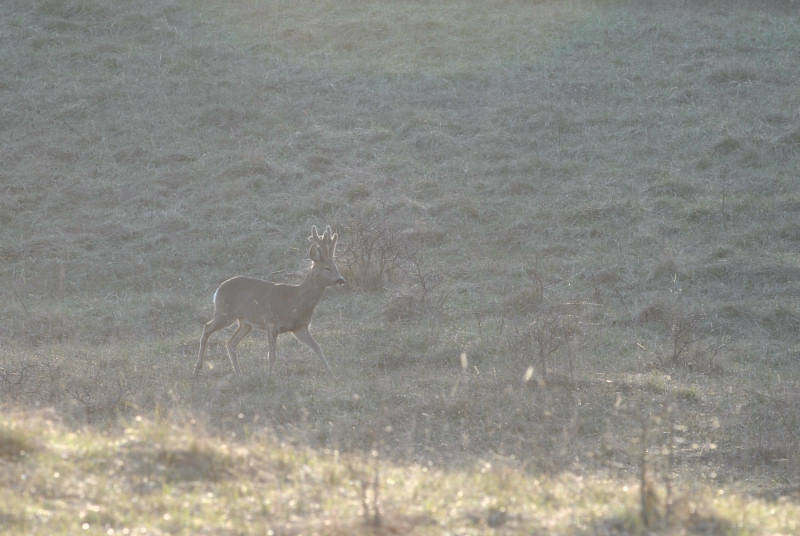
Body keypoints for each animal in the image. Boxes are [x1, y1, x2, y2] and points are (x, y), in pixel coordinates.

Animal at [195, 226, 346, 376]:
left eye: (336, 267)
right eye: (326, 268)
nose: (341, 279)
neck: (296, 301)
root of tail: (218, 290)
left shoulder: (300, 327)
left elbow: (317, 347)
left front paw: (331, 374)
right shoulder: (272, 323)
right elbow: (272, 355)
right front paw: (269, 376)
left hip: (245, 323)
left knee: (230, 343)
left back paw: (239, 372)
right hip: (225, 313)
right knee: (207, 328)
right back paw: (198, 368)